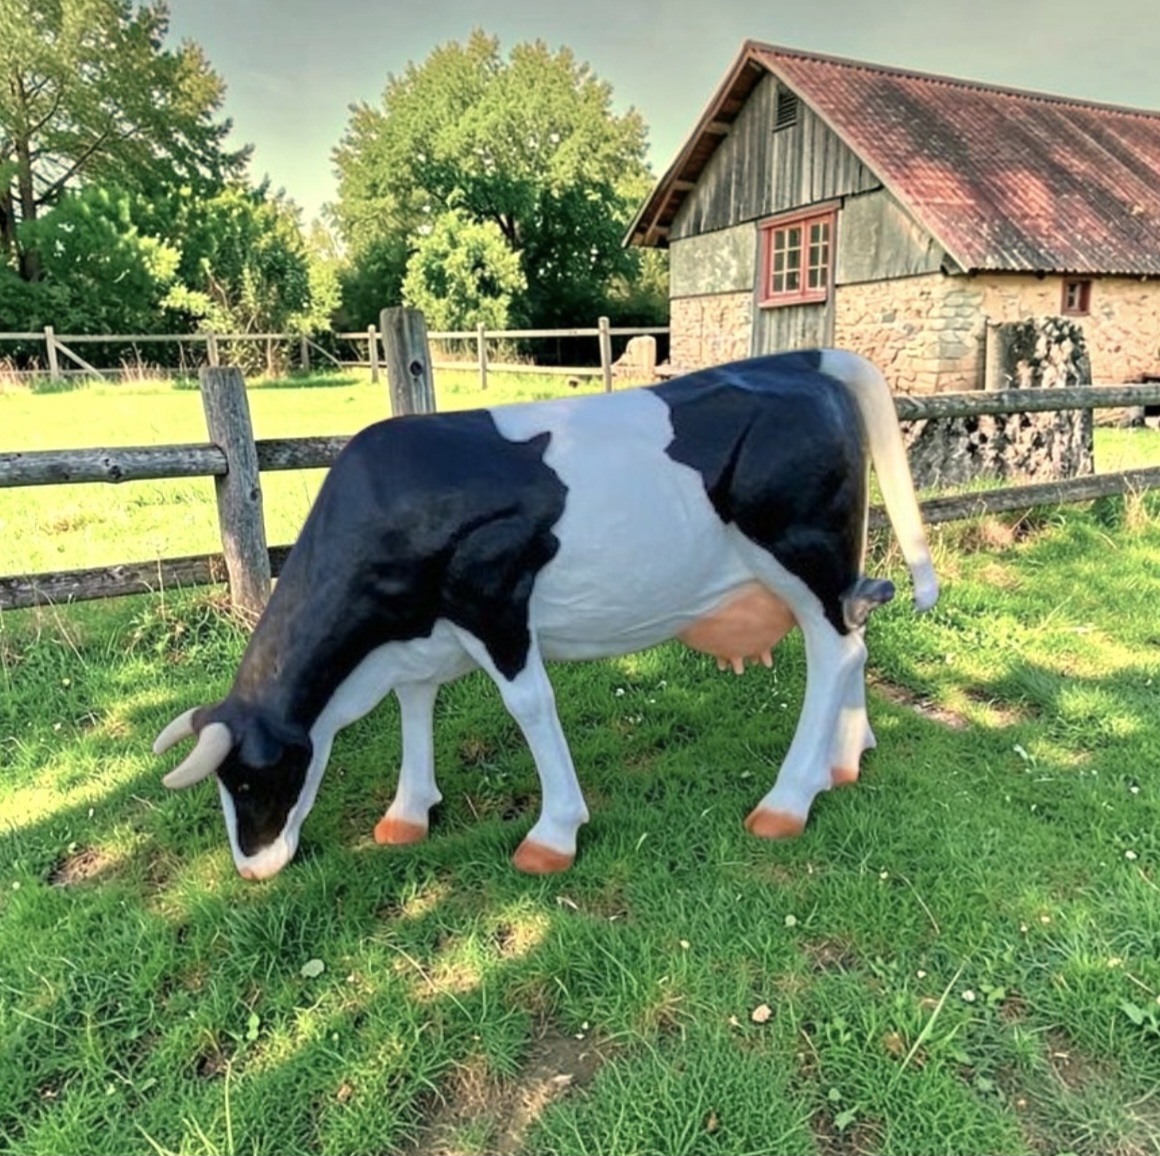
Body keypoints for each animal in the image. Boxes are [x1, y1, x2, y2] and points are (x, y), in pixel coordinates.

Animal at [154, 349, 938, 881]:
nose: (252, 868)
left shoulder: (492, 594)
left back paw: (789, 799)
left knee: (834, 653)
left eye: (248, 780)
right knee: (857, 634)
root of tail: (806, 360)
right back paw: (845, 759)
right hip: (834, 563)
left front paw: (553, 834)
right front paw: (407, 812)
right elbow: (415, 703)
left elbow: (529, 705)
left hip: (802, 550)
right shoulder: (420, 633)